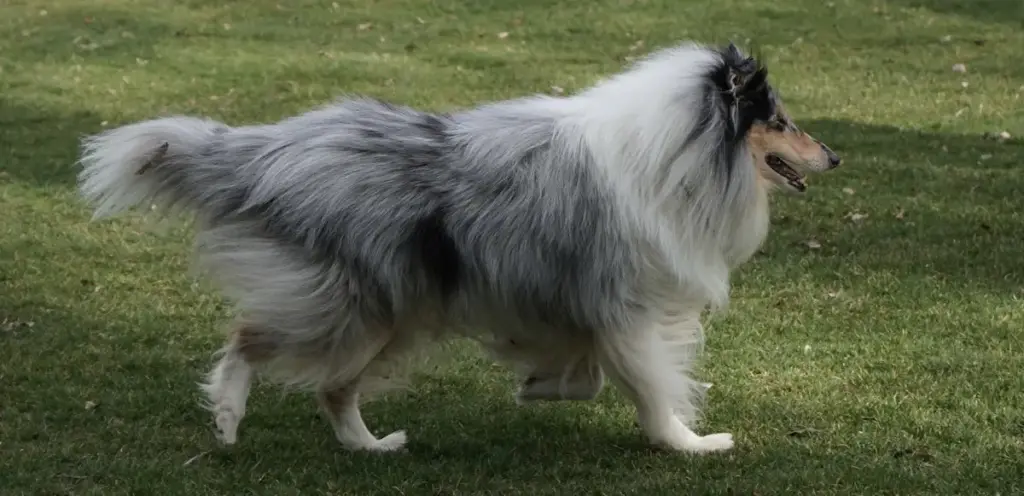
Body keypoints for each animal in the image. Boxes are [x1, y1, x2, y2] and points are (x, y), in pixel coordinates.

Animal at [74, 41, 839, 452]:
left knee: (331, 389)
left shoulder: (581, 306)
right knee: (250, 341)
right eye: (780, 120)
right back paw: (230, 418)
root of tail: (271, 152)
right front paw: (691, 443)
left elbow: (585, 373)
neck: (681, 152)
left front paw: (540, 384)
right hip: (353, 309)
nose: (833, 156)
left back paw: (371, 447)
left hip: (393, 314)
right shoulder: (627, 309)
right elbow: (652, 389)